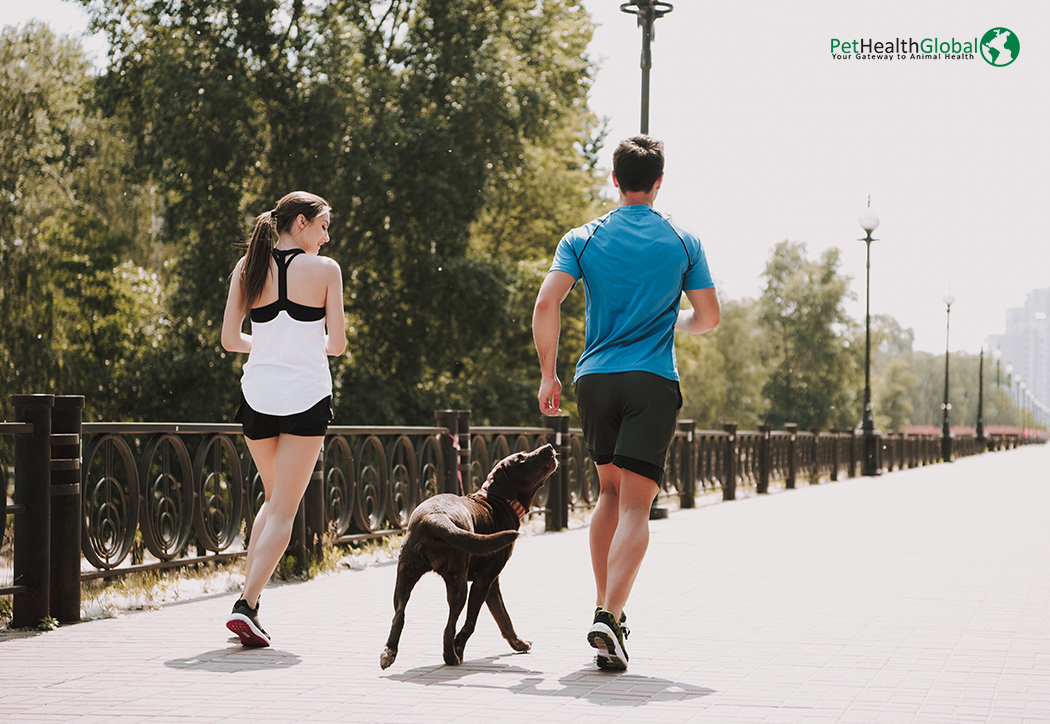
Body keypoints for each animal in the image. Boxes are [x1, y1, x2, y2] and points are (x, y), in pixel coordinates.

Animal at [377, 442, 558, 667]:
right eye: (521, 459)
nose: (549, 446)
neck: (498, 501)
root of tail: (435, 517)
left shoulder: (492, 584)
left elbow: (504, 619)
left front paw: (519, 644)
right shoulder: (484, 580)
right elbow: (471, 622)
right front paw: (459, 647)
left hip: (405, 575)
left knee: (398, 615)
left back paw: (389, 652)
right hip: (458, 582)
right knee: (449, 626)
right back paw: (451, 657)